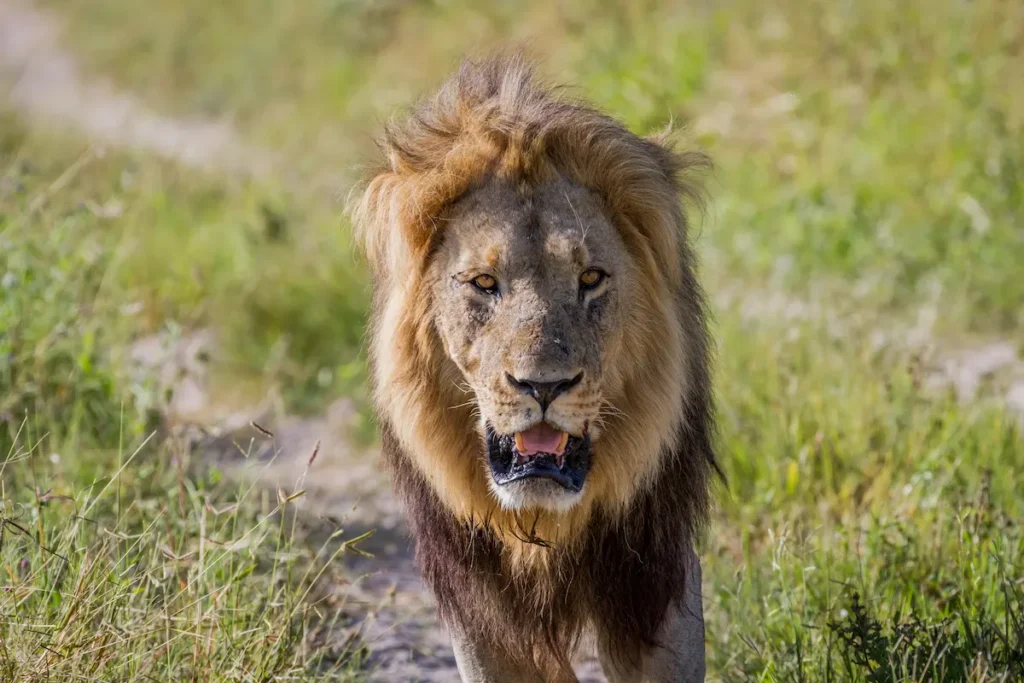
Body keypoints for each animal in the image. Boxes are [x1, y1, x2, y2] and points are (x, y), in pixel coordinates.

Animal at [350, 53, 717, 682]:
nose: (543, 386)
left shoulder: (654, 580)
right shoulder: (482, 611)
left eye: (590, 278)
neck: (543, 528)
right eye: (483, 282)